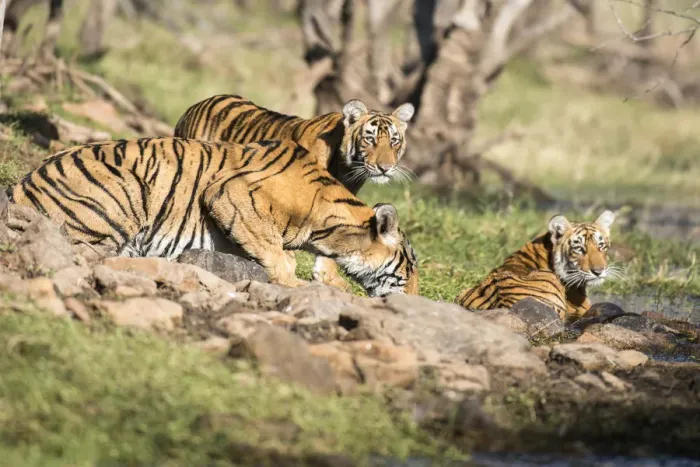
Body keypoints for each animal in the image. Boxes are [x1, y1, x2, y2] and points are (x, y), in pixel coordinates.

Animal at [9, 137, 419, 297]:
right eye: (412, 266)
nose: (417, 297)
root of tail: (21, 184)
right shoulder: (231, 192)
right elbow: (277, 254)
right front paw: (296, 283)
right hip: (126, 187)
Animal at [174, 94, 415, 292]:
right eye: (369, 139)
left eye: (394, 141)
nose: (385, 168)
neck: (345, 169)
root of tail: (194, 107)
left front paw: (328, 278)